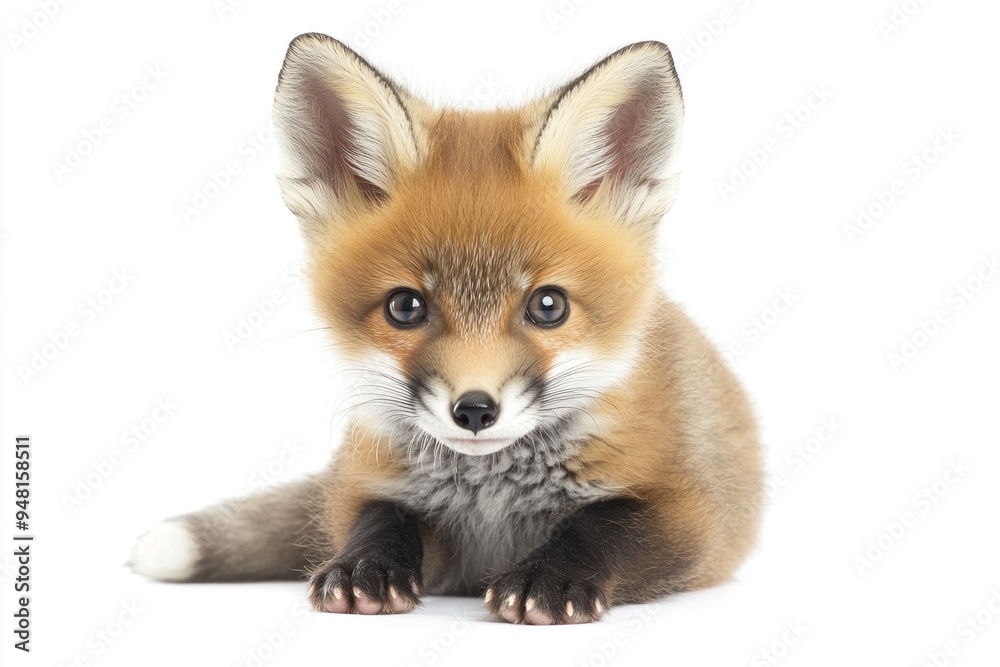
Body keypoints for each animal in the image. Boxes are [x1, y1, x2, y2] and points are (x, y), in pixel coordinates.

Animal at [129, 34, 763, 625]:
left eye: (548, 306)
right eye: (406, 308)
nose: (475, 410)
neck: (493, 496)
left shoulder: (697, 517)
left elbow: (603, 527)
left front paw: (548, 579)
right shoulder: (371, 486)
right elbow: (381, 517)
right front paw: (364, 567)